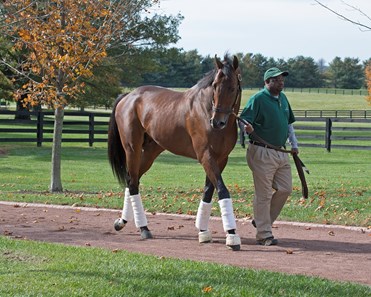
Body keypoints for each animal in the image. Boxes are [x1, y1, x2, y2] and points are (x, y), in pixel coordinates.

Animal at [107, 53, 244, 250]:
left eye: (233, 87)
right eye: (215, 86)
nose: (217, 122)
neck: (205, 109)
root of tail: (129, 96)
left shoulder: (220, 159)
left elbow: (208, 191)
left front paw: (203, 232)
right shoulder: (206, 156)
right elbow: (222, 190)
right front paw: (232, 235)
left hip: (151, 151)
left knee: (132, 179)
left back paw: (123, 222)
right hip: (132, 148)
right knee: (132, 182)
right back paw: (143, 228)